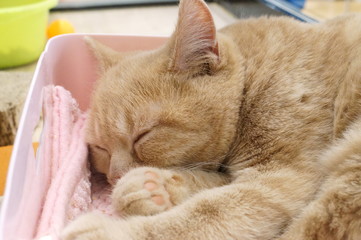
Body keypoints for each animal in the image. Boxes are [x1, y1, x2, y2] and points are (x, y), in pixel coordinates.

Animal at [62, 0, 360, 239]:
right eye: (100, 148)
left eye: (143, 136)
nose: (114, 176)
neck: (251, 76)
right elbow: (213, 185)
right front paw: (154, 186)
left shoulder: (280, 177)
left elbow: (207, 211)